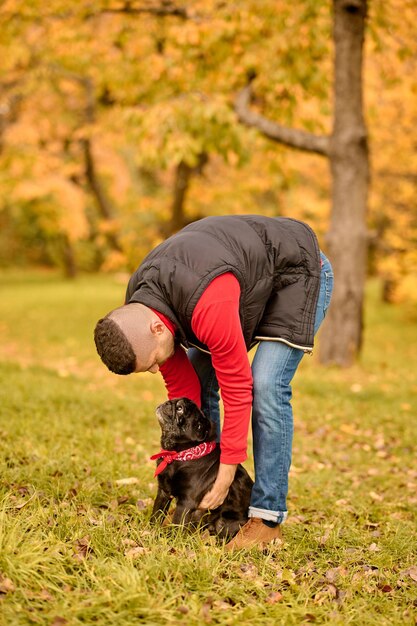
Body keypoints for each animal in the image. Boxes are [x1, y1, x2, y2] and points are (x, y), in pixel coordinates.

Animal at [150, 394, 254, 536]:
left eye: (180, 409)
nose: (168, 403)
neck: (178, 455)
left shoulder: (186, 503)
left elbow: (177, 524)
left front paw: (171, 539)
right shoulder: (163, 493)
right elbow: (156, 515)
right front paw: (150, 532)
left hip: (225, 524)